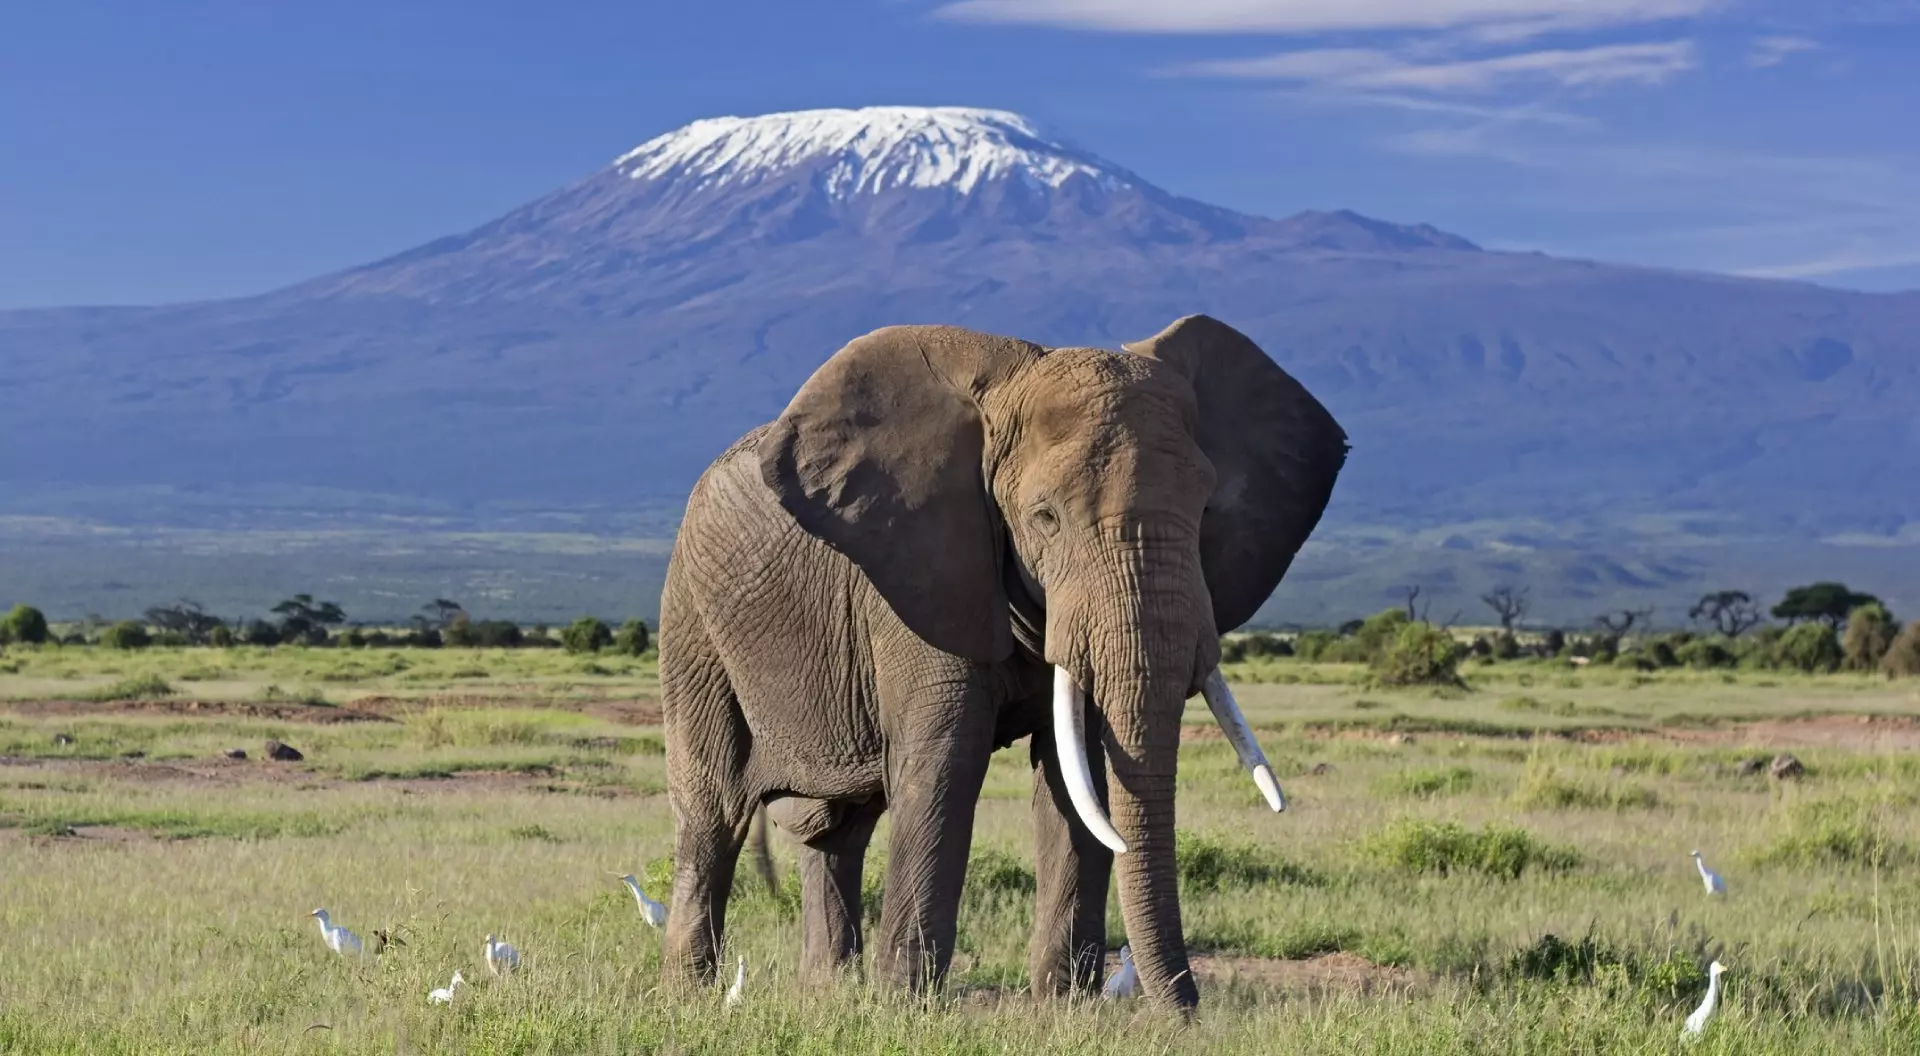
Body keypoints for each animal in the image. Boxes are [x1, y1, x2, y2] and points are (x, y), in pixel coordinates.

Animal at [656, 314, 1347, 1010]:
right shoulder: (921, 577)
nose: (1187, 1017)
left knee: (838, 829)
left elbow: (1076, 773)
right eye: (1045, 517)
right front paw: (906, 1008)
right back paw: (692, 996)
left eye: (1206, 510)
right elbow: (946, 763)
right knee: (713, 809)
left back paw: (829, 992)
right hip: (691, 618)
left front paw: (1065, 1008)